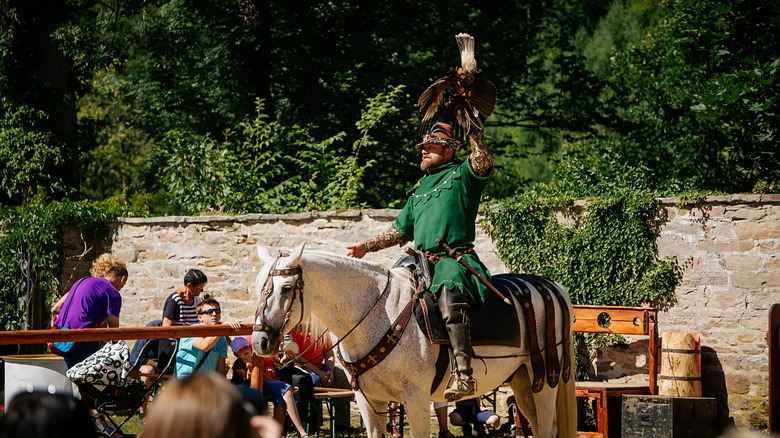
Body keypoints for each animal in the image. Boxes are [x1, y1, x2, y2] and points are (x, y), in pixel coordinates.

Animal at [253, 245, 576, 436]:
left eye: (286, 288)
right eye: (258, 287)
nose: (260, 342)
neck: (378, 313)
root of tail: (552, 287)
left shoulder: (416, 399)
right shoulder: (369, 401)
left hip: (544, 383)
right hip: (522, 384)